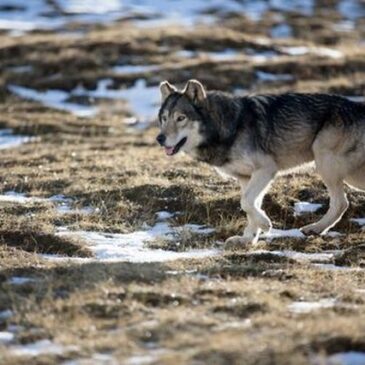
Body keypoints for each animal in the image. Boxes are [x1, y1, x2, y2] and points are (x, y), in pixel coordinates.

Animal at [154, 79, 364, 245]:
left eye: (180, 118)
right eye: (163, 119)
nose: (160, 138)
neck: (229, 128)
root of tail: (357, 107)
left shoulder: (266, 170)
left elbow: (246, 202)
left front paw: (265, 224)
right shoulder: (246, 178)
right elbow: (250, 206)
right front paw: (248, 239)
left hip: (326, 163)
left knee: (341, 203)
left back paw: (315, 228)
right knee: (342, 202)